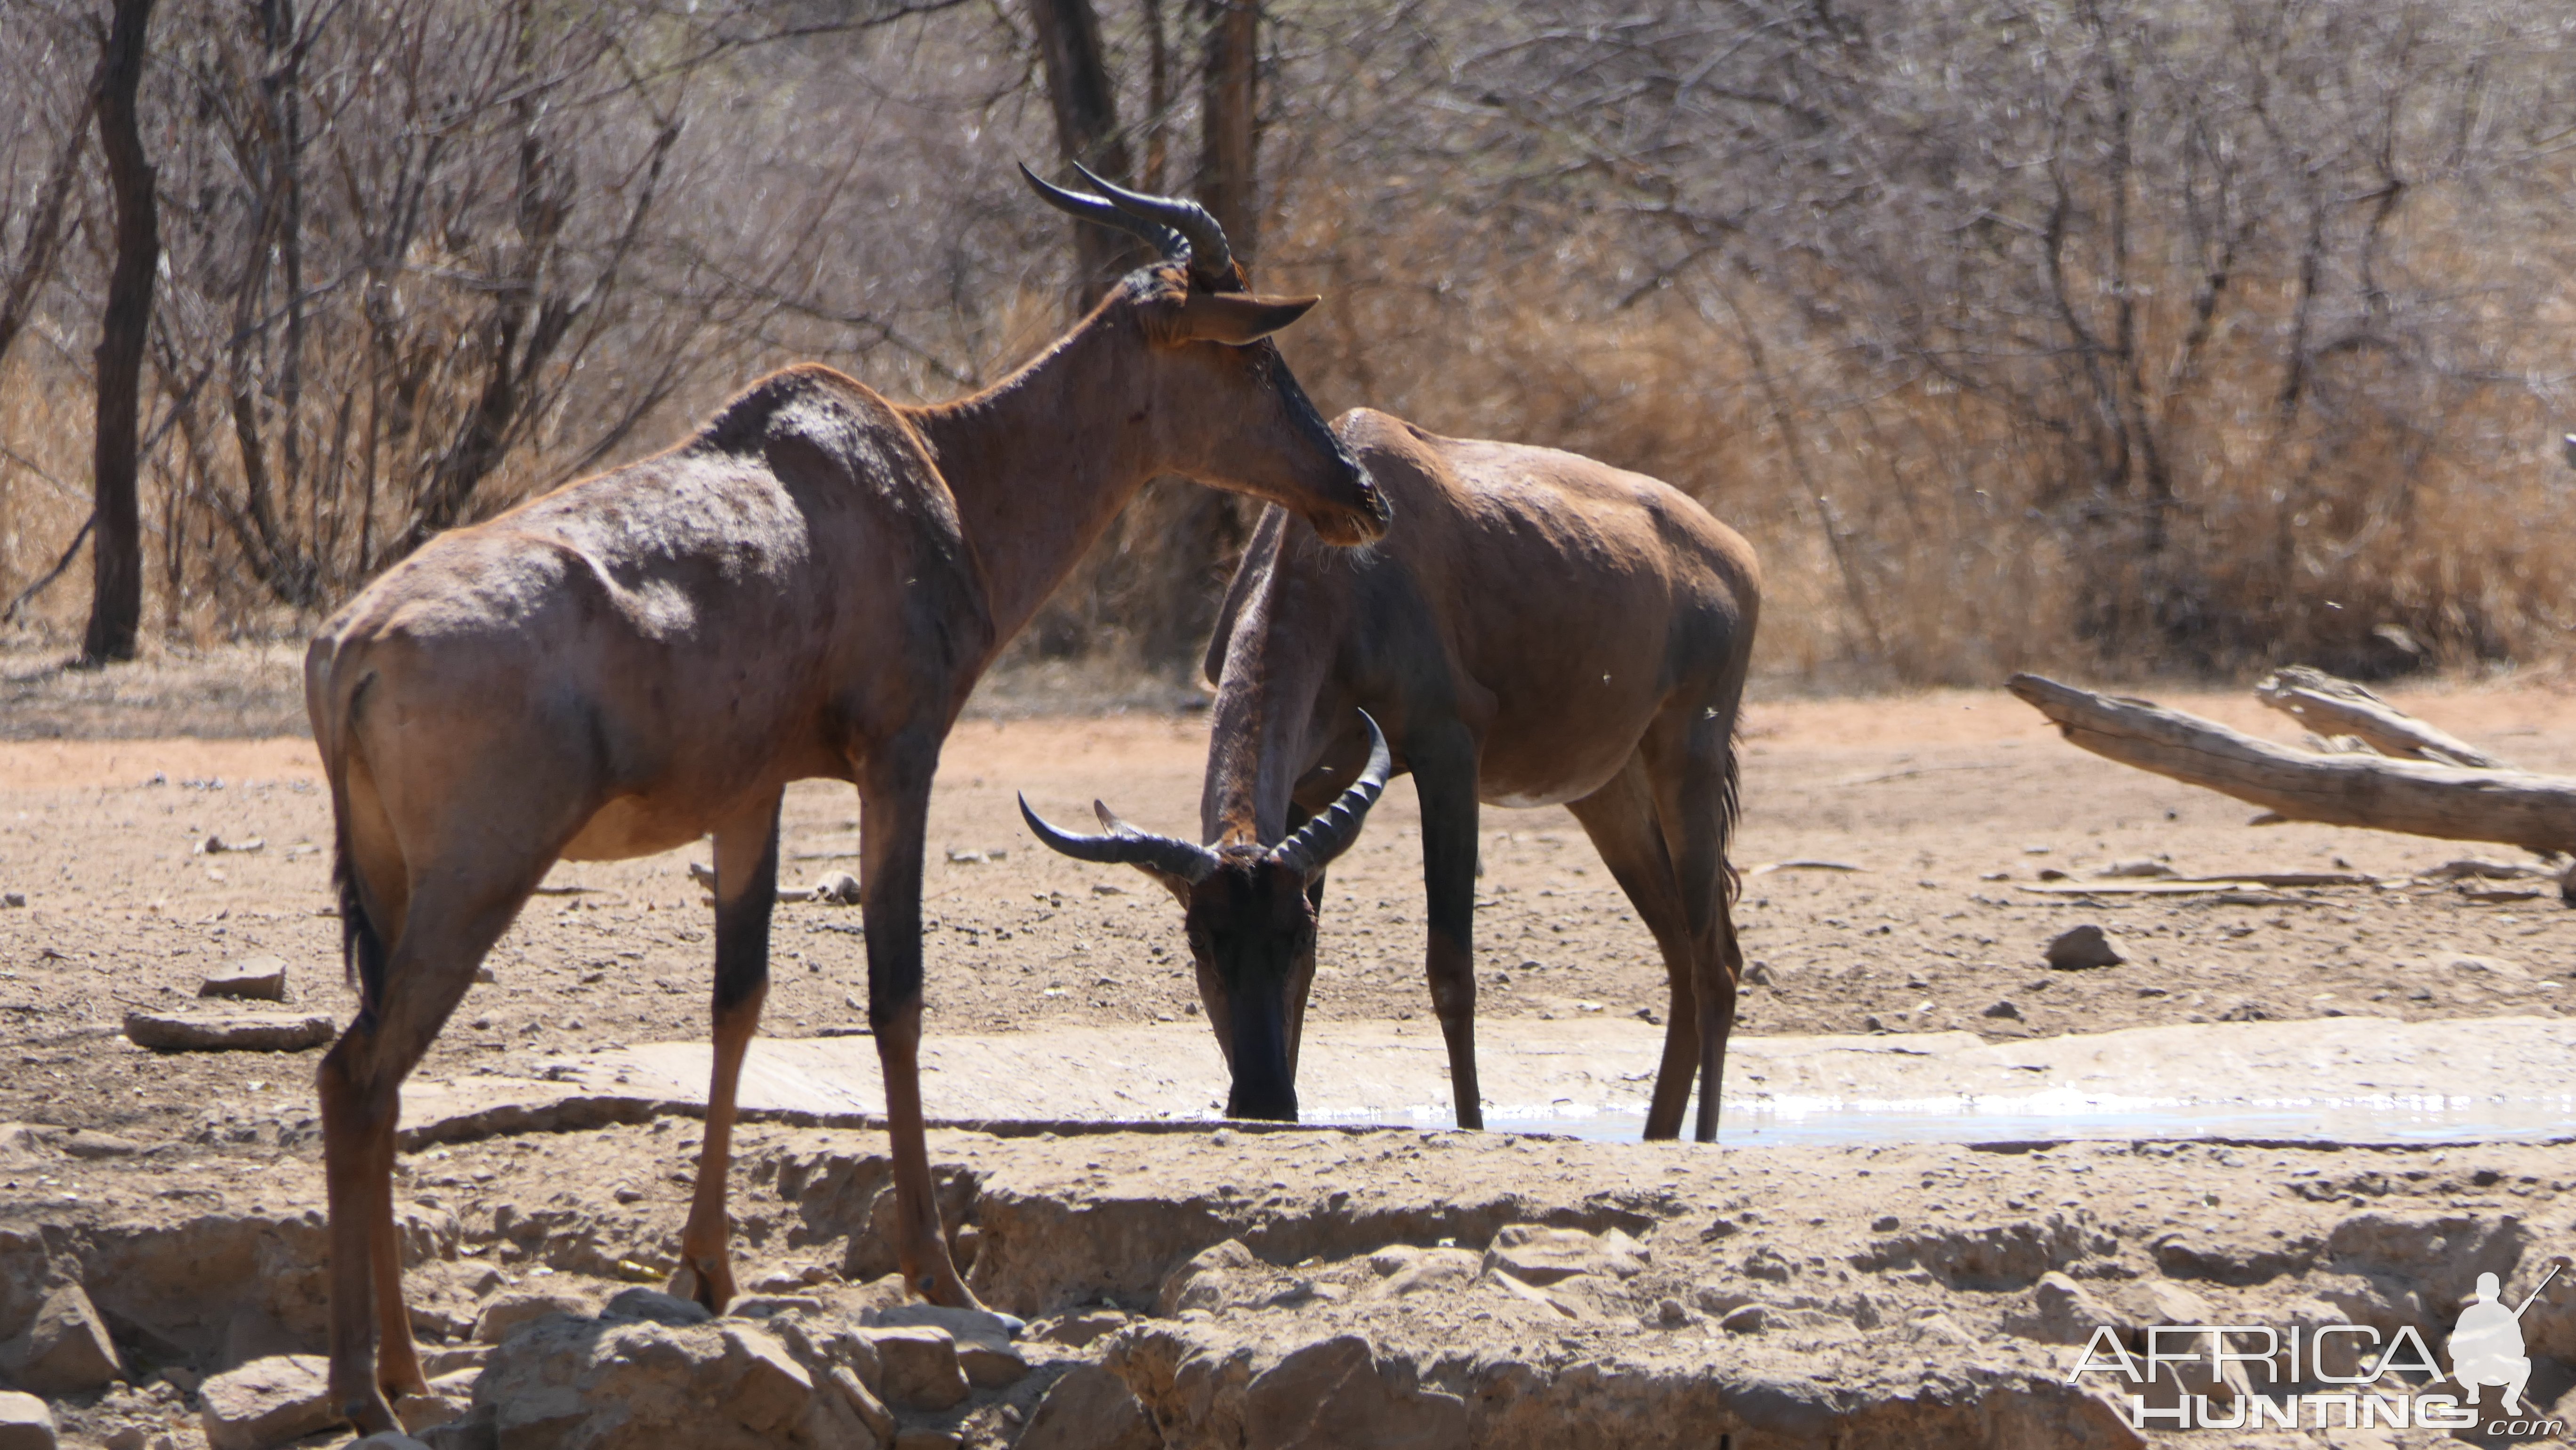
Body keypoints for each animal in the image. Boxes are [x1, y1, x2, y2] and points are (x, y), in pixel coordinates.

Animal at [301, 167, 1391, 1432]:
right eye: (1251, 353)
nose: (1360, 496)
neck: (920, 467)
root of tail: (353, 646)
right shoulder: (900, 758)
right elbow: (896, 992)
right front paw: (945, 1275)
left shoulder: (751, 794)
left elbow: (737, 1000)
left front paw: (706, 1272)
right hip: (477, 880)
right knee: (358, 1075)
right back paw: (372, 1393)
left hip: (394, 886)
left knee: (372, 1081)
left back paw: (402, 1376)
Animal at [1020, 417, 1751, 1148]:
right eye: (1201, 938)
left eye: (1294, 933)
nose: (1263, 1100)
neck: (1345, 569)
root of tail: (1735, 552)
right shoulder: (1310, 790)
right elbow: (1314, 984)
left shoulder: (1448, 752)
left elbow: (1451, 971)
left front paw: (1470, 1126)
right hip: (1607, 794)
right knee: (1685, 957)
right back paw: (1659, 1137)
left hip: (1688, 755)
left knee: (1715, 963)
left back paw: (1706, 1140)